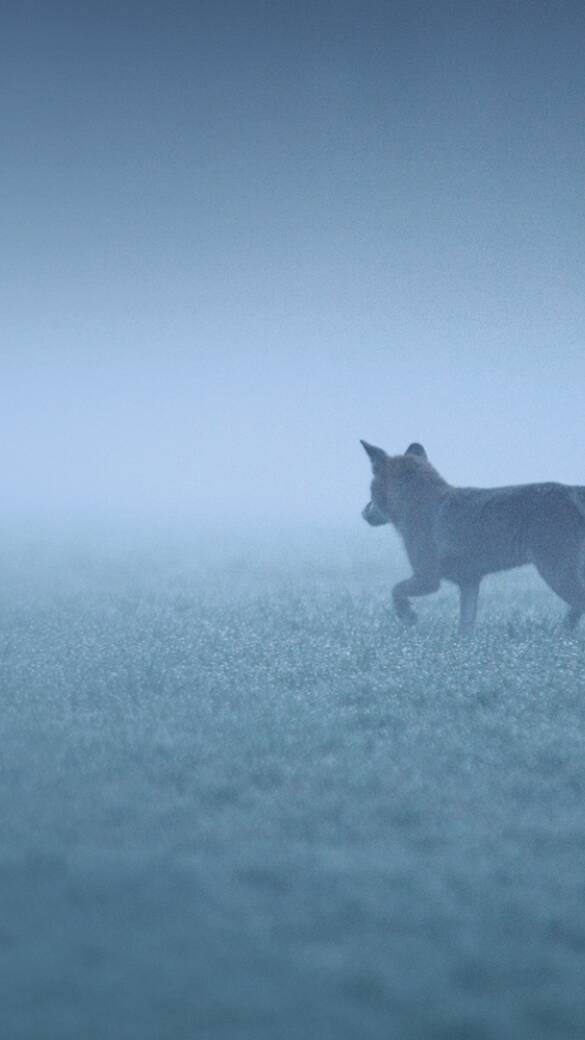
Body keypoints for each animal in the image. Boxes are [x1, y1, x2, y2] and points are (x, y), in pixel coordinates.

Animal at [360, 438, 582, 632]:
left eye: (370, 493)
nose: (363, 513)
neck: (417, 506)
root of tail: (569, 489)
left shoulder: (428, 579)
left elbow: (395, 590)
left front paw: (407, 616)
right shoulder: (469, 582)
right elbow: (465, 627)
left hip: (555, 574)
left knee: (579, 604)